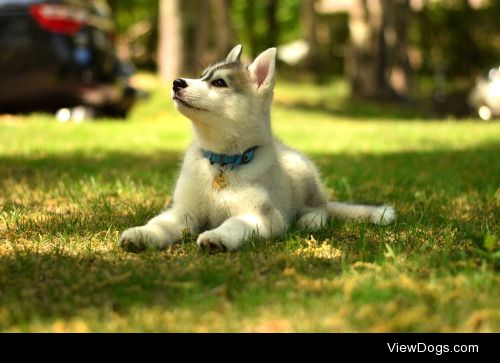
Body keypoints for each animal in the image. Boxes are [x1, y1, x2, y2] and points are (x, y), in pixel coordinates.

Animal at [121, 44, 394, 252]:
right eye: (202, 76)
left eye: (219, 83)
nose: (177, 82)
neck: (223, 161)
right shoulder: (183, 211)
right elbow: (161, 222)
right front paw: (142, 234)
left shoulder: (262, 216)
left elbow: (235, 223)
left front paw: (217, 237)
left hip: (302, 172)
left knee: (321, 207)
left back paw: (311, 220)